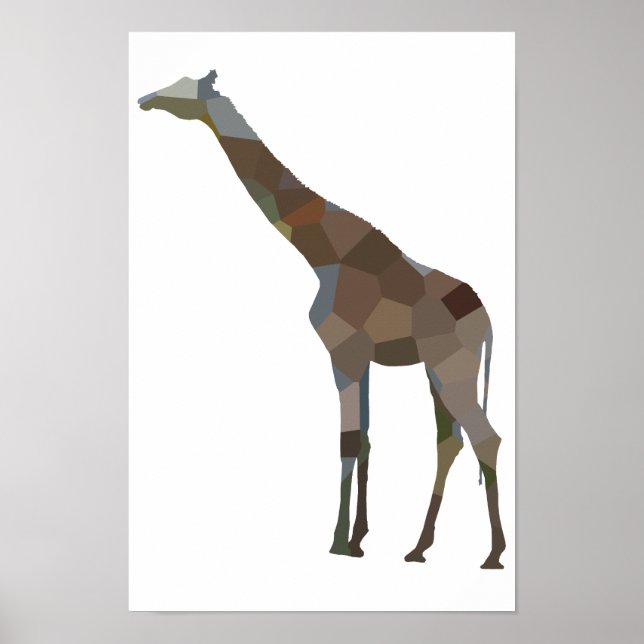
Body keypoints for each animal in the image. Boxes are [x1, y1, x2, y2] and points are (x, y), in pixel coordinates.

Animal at [138, 69, 506, 569]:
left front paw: (338, 544)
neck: (321, 252)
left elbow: (348, 440)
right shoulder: (361, 355)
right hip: (436, 369)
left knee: (486, 438)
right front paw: (360, 538)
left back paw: (493, 555)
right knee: (450, 441)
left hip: (453, 366)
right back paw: (418, 548)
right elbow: (366, 438)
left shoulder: (343, 350)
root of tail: (486, 320)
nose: (144, 99)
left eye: (183, 86)